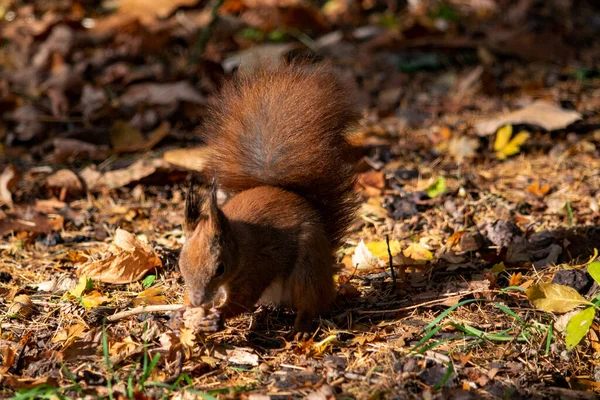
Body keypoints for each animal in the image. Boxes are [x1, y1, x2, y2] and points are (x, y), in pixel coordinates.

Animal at [176, 62, 358, 336]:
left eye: (220, 268)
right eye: (181, 263)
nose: (198, 300)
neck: (240, 245)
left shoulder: (256, 269)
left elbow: (243, 300)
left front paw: (217, 317)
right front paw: (187, 311)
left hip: (309, 264)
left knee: (310, 302)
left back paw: (301, 327)